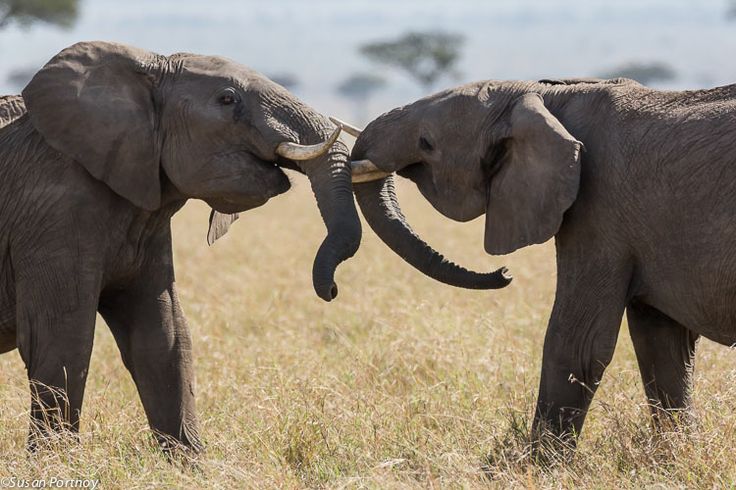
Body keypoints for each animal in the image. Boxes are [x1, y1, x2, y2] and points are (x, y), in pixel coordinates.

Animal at [0, 40, 365, 453]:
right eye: (227, 99)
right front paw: (57, 461)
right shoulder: (55, 211)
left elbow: (163, 337)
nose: (332, 290)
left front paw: (192, 462)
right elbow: (62, 337)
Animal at [344, 77, 736, 451]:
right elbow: (663, 347)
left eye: (426, 143)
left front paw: (540, 464)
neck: (542, 96)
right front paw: (679, 455)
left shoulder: (599, 211)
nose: (505, 273)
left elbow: (577, 342)